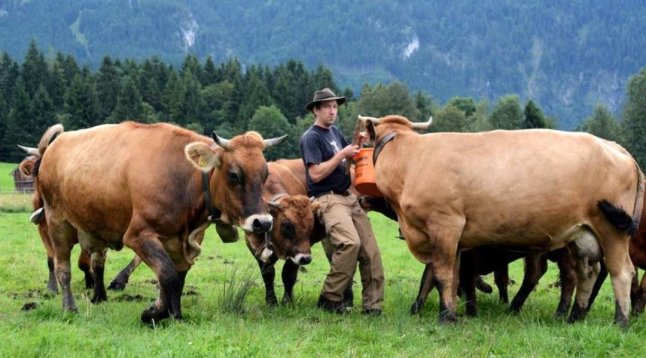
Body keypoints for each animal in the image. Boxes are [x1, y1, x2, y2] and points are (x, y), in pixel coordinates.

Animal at [34, 121, 286, 324]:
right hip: (57, 223)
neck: (184, 177)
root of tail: (54, 147)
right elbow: (167, 274)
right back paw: (69, 308)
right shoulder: (138, 235)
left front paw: (175, 315)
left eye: (265, 174)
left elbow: (176, 279)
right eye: (234, 175)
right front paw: (155, 312)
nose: (263, 223)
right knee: (63, 269)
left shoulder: (179, 242)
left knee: (95, 262)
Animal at [362, 114, 644, 328]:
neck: (411, 160)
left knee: (621, 273)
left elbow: (441, 275)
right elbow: (451, 276)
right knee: (587, 273)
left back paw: (620, 321)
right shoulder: (456, 241)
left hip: (611, 231)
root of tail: (614, 146)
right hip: (581, 235)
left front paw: (445, 317)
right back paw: (574, 316)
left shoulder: (444, 227)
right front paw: (450, 312)